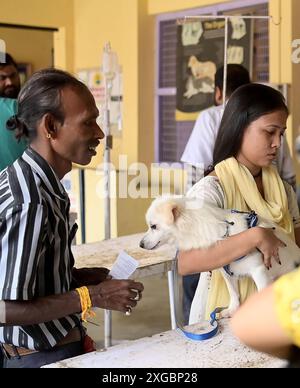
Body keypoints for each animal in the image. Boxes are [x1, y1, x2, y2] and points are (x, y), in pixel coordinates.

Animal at [140, 196, 300, 322]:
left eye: (153, 226)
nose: (140, 244)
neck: (225, 233)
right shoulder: (227, 271)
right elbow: (233, 293)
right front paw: (232, 310)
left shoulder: (259, 271)